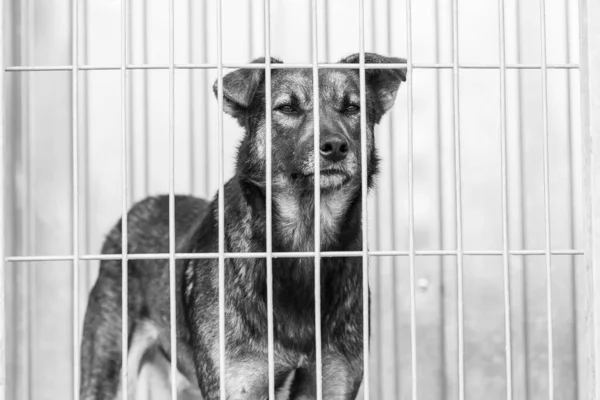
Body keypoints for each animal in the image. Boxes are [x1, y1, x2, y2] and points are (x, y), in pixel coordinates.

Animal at [79, 54, 406, 400]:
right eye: (287, 108)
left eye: (351, 107)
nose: (335, 147)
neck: (302, 246)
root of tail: (138, 209)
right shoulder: (238, 384)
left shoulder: (333, 380)